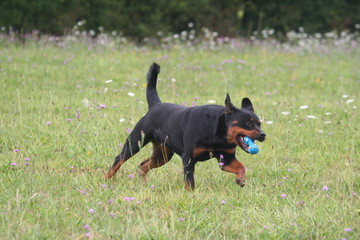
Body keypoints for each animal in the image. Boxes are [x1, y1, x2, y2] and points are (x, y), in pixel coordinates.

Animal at [104, 62, 264, 190]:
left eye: (259, 123)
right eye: (248, 122)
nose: (263, 134)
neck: (217, 132)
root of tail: (156, 105)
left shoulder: (226, 159)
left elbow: (241, 166)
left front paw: (241, 179)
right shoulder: (188, 158)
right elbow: (189, 181)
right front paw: (190, 194)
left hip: (163, 154)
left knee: (143, 165)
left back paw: (143, 183)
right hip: (136, 141)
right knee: (119, 159)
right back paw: (106, 179)